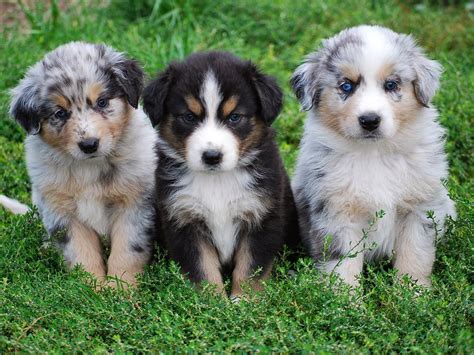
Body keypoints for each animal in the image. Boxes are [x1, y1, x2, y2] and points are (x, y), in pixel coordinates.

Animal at [7, 41, 158, 288]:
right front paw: (92, 289)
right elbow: (82, 255)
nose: (89, 145)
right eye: (60, 113)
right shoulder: (63, 212)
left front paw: (120, 290)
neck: (89, 168)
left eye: (102, 102)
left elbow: (126, 252)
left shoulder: (134, 205)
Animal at [144, 51, 298, 298]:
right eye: (189, 117)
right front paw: (213, 301)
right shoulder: (184, 220)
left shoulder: (262, 217)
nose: (212, 156)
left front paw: (244, 300)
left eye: (234, 117)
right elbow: (202, 268)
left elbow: (250, 267)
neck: (217, 180)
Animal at [290, 25, 458, 288]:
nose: (370, 120)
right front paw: (344, 298)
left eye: (391, 84)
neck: (375, 153)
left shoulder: (421, 207)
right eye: (346, 86)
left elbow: (415, 256)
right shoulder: (338, 213)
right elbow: (343, 265)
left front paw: (412, 293)